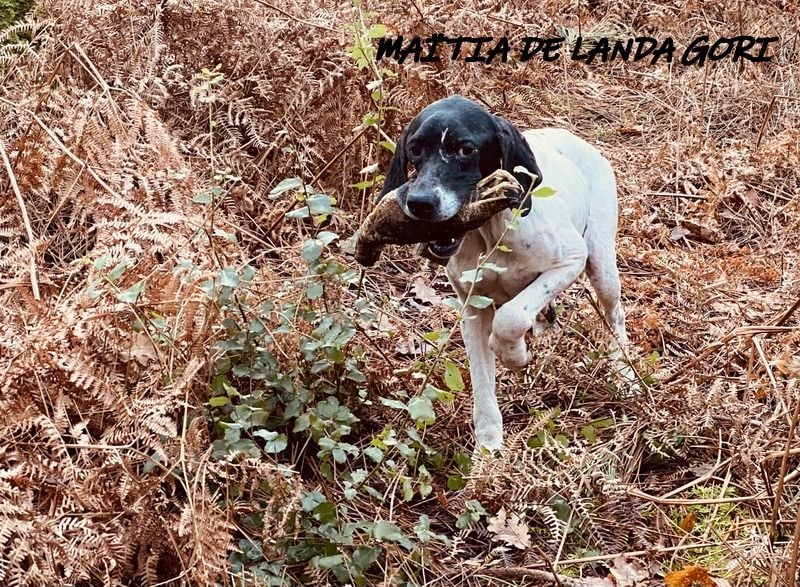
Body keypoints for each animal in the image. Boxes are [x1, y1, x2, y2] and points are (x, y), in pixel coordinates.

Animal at [378, 95, 636, 450]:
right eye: (414, 149)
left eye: (466, 150)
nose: (420, 203)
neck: (489, 230)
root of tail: (575, 139)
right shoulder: (472, 310)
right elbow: (483, 386)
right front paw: (487, 449)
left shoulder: (571, 259)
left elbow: (509, 319)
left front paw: (514, 354)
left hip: (601, 265)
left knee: (614, 315)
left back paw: (624, 373)